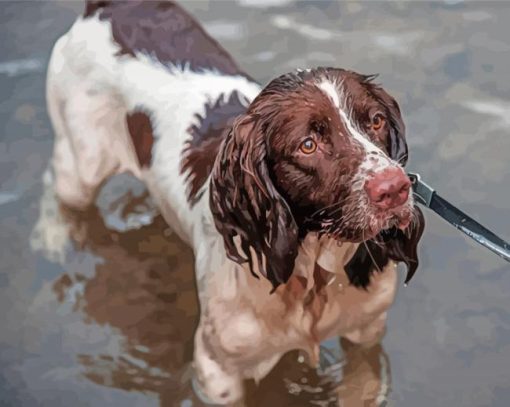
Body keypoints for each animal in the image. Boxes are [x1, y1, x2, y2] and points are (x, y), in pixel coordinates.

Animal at [46, 1, 422, 404]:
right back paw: (52, 242)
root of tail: (110, 8)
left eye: (376, 121)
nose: (394, 188)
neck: (310, 277)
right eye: (308, 144)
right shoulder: (217, 368)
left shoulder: (366, 333)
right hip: (81, 166)